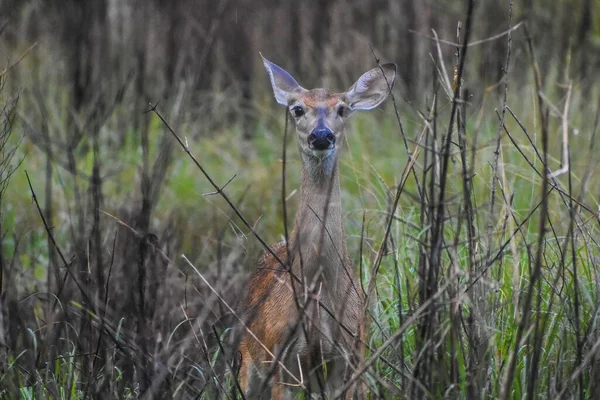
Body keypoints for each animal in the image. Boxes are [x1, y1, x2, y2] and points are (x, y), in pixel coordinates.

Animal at [237, 54, 396, 400]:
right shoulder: (281, 360)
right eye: (297, 109)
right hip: (248, 363)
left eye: (343, 109)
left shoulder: (349, 355)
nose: (322, 136)